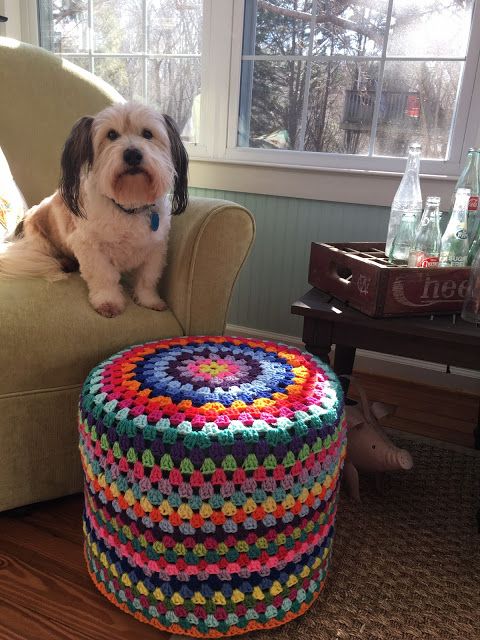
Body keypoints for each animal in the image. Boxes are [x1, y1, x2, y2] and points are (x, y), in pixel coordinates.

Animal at [0, 100, 188, 318]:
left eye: (148, 134)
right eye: (111, 134)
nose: (132, 154)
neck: (127, 206)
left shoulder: (155, 249)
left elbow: (147, 278)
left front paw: (149, 300)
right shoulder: (90, 247)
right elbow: (104, 277)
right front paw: (108, 302)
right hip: (40, 243)